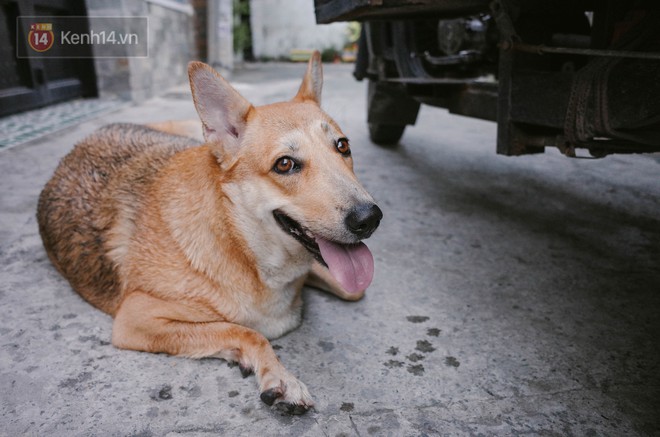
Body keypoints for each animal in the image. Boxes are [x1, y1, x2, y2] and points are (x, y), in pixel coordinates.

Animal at [37, 52, 382, 414]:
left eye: (342, 146)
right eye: (285, 164)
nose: (369, 218)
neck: (239, 243)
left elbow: (353, 291)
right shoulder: (135, 318)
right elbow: (245, 332)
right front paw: (278, 377)